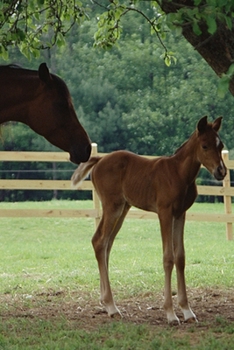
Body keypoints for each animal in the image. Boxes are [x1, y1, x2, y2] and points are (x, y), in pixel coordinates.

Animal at [72, 116, 227, 324]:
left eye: (221, 145)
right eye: (204, 146)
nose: (221, 171)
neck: (179, 173)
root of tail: (100, 159)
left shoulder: (180, 214)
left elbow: (180, 257)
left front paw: (187, 311)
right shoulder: (164, 212)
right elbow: (168, 258)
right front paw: (170, 314)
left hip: (123, 208)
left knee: (105, 244)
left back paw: (106, 303)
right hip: (113, 206)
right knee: (99, 241)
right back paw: (112, 307)